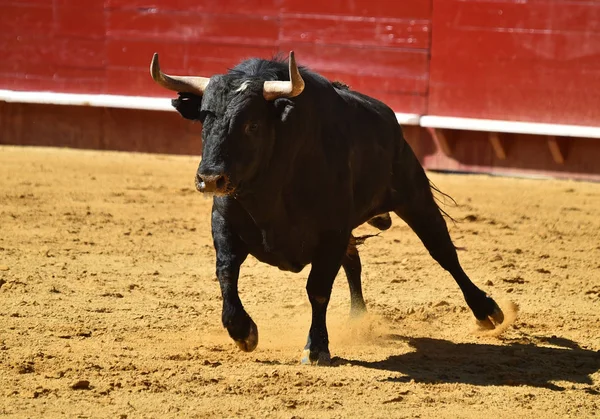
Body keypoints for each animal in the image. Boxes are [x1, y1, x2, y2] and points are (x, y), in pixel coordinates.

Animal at [150, 51, 506, 364]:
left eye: (252, 125)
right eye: (203, 120)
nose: (210, 178)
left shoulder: (331, 232)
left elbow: (318, 289)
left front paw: (316, 348)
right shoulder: (224, 220)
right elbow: (226, 271)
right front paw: (242, 331)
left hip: (414, 195)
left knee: (443, 252)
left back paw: (486, 311)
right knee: (354, 263)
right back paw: (359, 319)